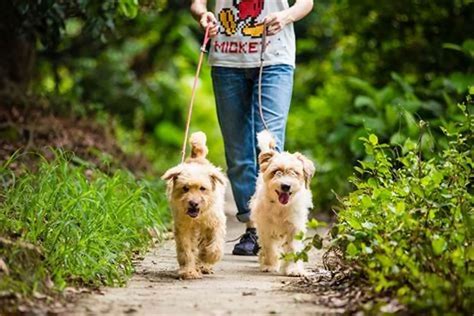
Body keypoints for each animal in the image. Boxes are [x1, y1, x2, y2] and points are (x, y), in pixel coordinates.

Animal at [162, 132, 227, 280]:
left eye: (202, 188)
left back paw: (204, 265)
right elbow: (186, 250)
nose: (193, 203)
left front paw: (207, 256)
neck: (198, 216)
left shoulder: (216, 222)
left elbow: (216, 246)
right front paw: (189, 271)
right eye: (185, 188)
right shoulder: (183, 228)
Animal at [252, 130, 314, 276]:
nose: (285, 186)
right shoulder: (266, 226)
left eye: (295, 173)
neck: (281, 207)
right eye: (276, 172)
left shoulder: (295, 227)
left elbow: (293, 248)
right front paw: (269, 265)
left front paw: (294, 269)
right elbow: (269, 247)